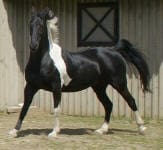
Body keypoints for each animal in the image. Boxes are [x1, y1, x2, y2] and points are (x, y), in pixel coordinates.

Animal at [9, 7, 150, 137]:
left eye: (41, 25)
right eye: (30, 24)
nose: (33, 46)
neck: (44, 60)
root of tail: (114, 50)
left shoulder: (56, 87)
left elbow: (56, 109)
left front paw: (54, 132)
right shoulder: (30, 86)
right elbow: (24, 108)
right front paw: (14, 131)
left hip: (119, 84)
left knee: (131, 101)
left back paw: (142, 128)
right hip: (99, 87)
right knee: (109, 105)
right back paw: (101, 130)